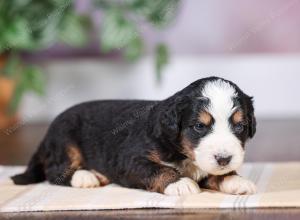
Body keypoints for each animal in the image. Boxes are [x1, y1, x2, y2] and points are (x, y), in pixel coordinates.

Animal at [11, 77, 255, 196]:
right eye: (198, 126)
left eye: (240, 126)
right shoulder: (130, 159)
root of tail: (47, 134)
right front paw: (180, 183)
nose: (224, 158)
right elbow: (158, 169)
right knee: (55, 171)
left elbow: (214, 173)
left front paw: (235, 180)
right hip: (64, 140)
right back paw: (85, 176)